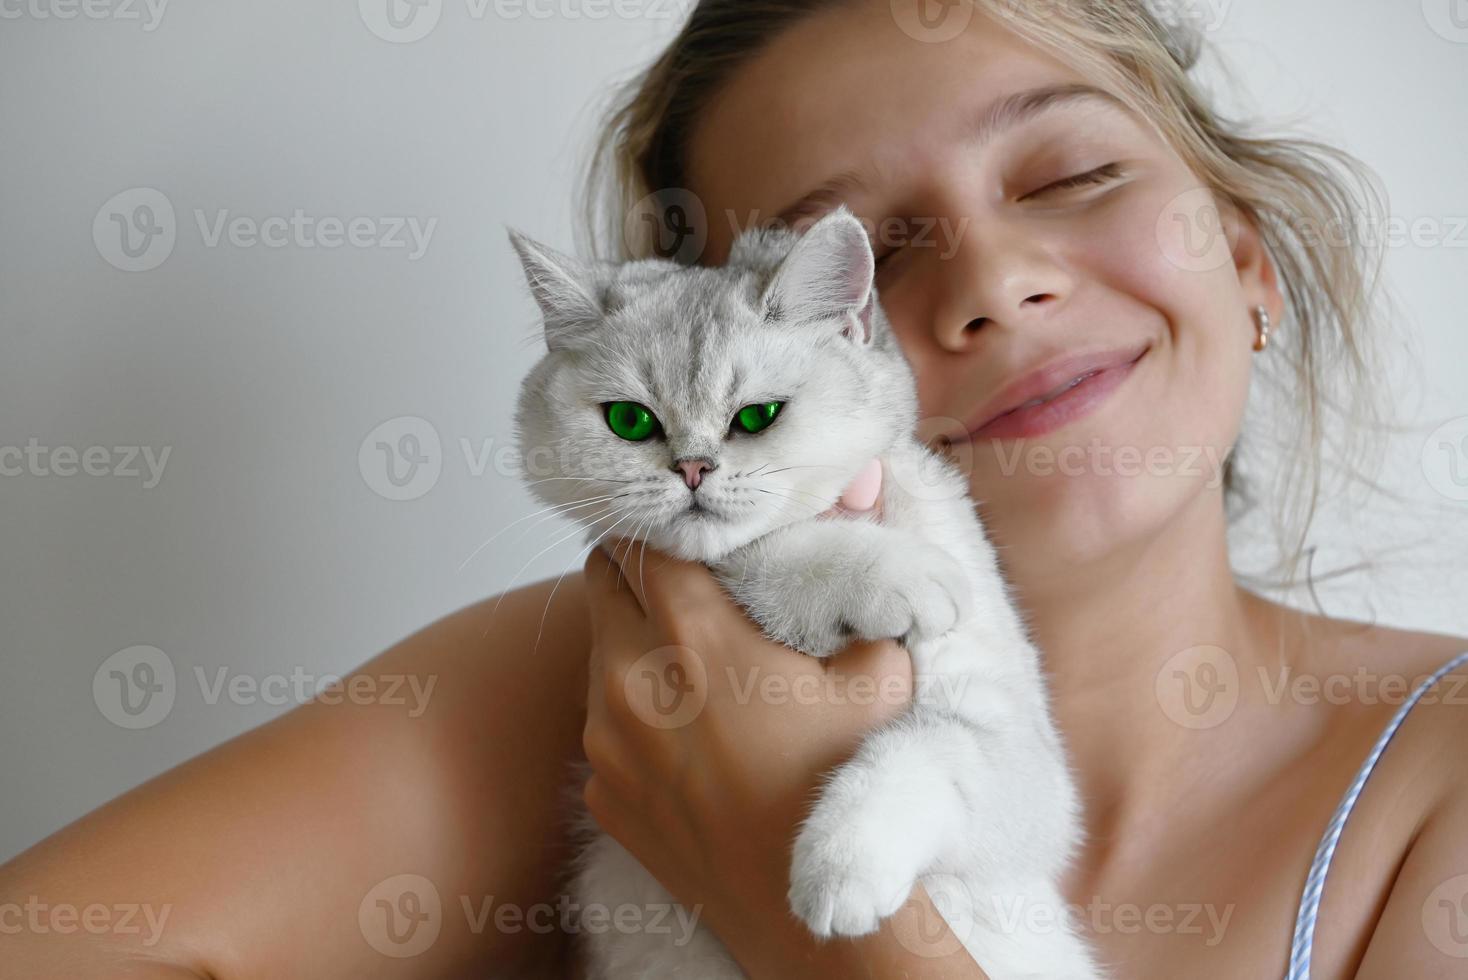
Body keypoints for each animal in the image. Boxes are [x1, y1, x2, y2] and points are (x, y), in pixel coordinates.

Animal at [510, 206, 1098, 979]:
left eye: (757, 417)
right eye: (630, 421)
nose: (692, 469)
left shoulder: (1021, 757)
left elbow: (923, 751)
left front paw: (839, 868)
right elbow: (763, 554)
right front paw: (892, 573)